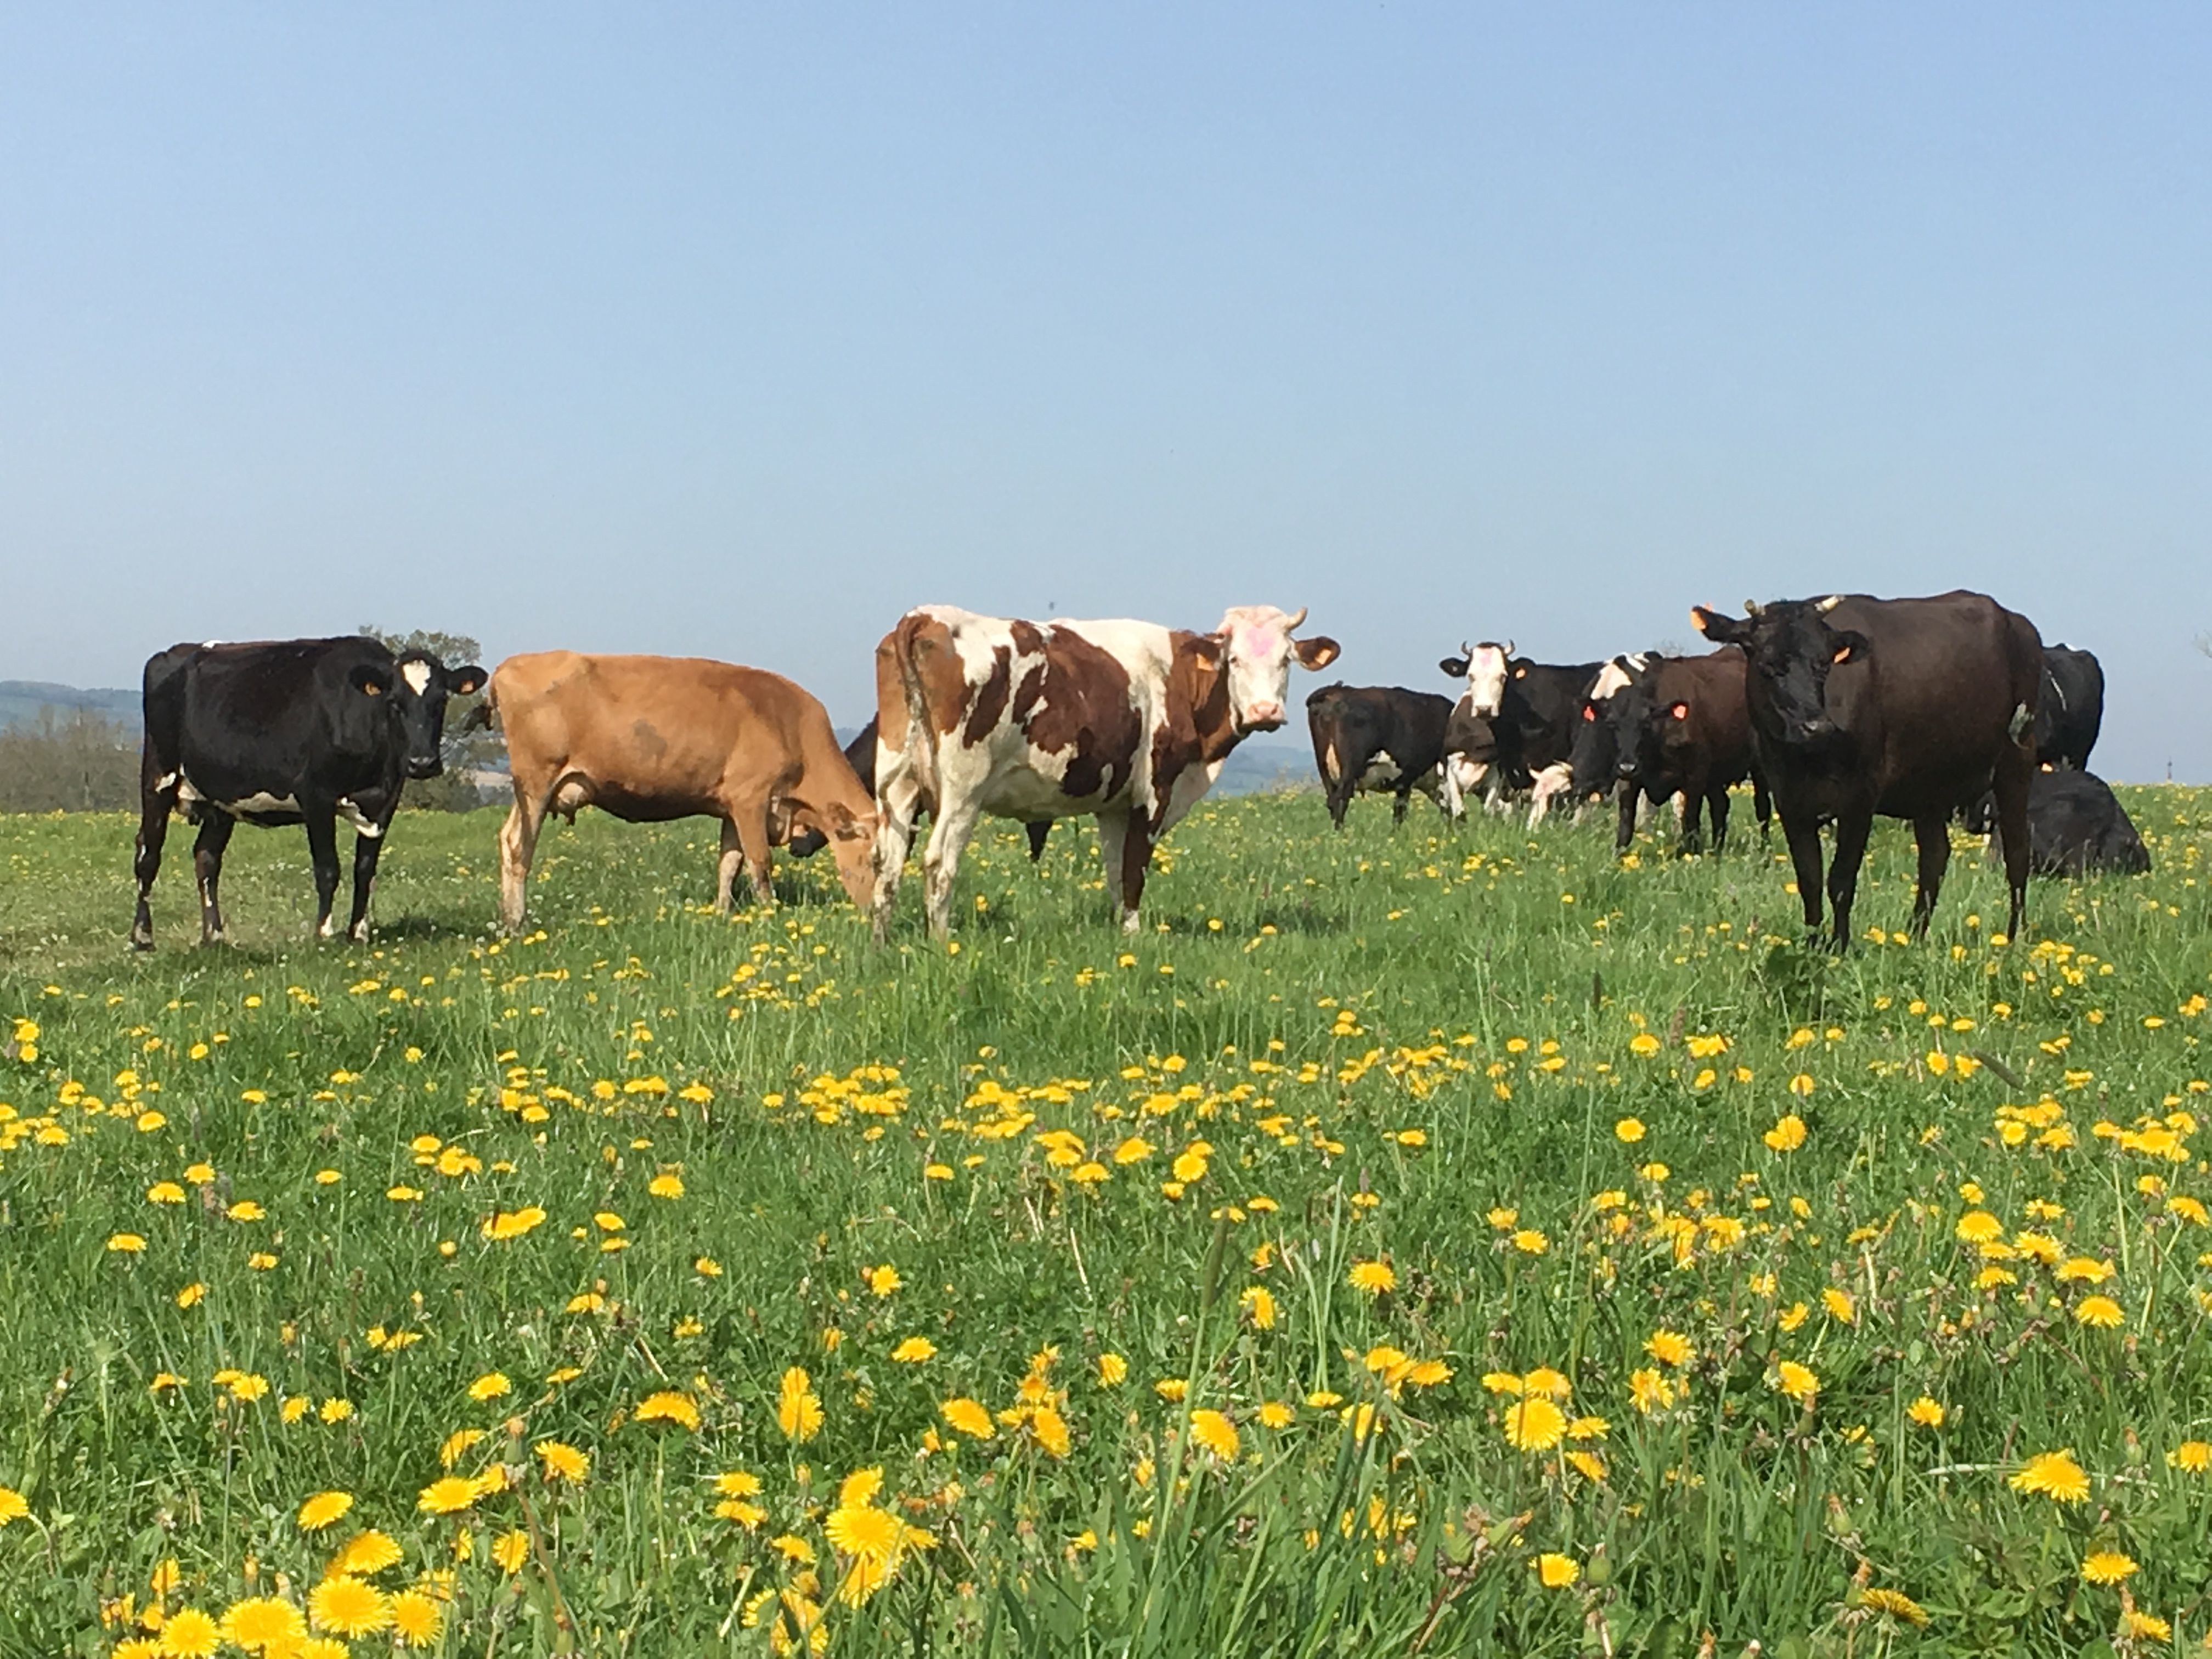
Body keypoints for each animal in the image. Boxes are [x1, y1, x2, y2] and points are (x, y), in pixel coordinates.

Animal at [130, 636, 485, 949]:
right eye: (394, 703)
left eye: (441, 701)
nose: (422, 763)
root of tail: (174, 653)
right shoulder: (316, 795)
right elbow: (328, 868)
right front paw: (323, 934)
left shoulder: (385, 802)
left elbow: (365, 869)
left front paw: (357, 934)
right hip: (158, 776)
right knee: (148, 854)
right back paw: (142, 938)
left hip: (222, 799)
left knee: (206, 858)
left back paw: (214, 937)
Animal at [484, 653, 877, 932]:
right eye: (875, 859)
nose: (877, 910)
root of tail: (511, 664)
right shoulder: (752, 799)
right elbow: (760, 862)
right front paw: (770, 915)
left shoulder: (732, 807)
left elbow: (729, 864)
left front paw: (722, 913)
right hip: (536, 782)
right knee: (520, 847)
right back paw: (518, 924)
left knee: (506, 839)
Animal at [871, 604, 1339, 939]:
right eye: (1235, 660)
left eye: (1286, 660)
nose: (1266, 711)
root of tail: (925, 615)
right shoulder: (1155, 791)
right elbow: (1134, 870)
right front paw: (1135, 937)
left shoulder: (1114, 804)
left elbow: (1115, 870)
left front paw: (1121, 934)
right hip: (963, 791)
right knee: (938, 862)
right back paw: (940, 944)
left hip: (899, 787)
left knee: (887, 868)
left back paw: (883, 947)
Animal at [1570, 649, 1770, 853]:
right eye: (1611, 723)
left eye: (1646, 724)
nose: (1628, 766)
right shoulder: (1629, 780)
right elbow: (1625, 827)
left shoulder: (1694, 779)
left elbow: (1689, 823)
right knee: (1721, 805)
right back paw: (1716, 851)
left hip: (1759, 769)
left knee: (1763, 808)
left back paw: (1764, 851)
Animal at [1692, 590, 2041, 947]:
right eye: (1768, 666)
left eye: (1824, 664)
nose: (1816, 726)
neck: (1807, 760)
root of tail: (2016, 621)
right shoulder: (1789, 801)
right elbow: (1810, 879)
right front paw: (1813, 942)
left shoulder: (1860, 797)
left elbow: (1841, 879)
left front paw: (1839, 945)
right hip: (1929, 786)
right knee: (1934, 857)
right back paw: (1914, 936)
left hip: (2017, 762)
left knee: (2017, 854)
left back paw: (2015, 936)